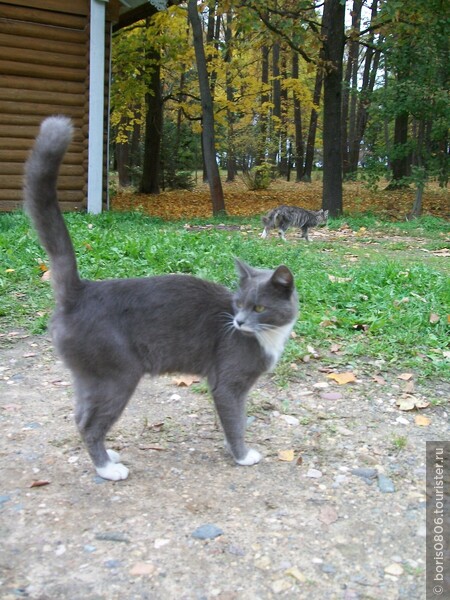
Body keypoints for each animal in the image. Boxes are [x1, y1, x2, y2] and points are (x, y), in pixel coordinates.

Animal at [24, 117, 298, 482]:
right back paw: (109, 469)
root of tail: (81, 290)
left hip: (88, 376)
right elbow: (235, 421)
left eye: (258, 307)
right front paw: (242, 455)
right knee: (91, 423)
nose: (238, 322)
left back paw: (108, 455)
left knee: (80, 416)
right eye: (239, 304)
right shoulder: (228, 383)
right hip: (117, 374)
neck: (269, 337)